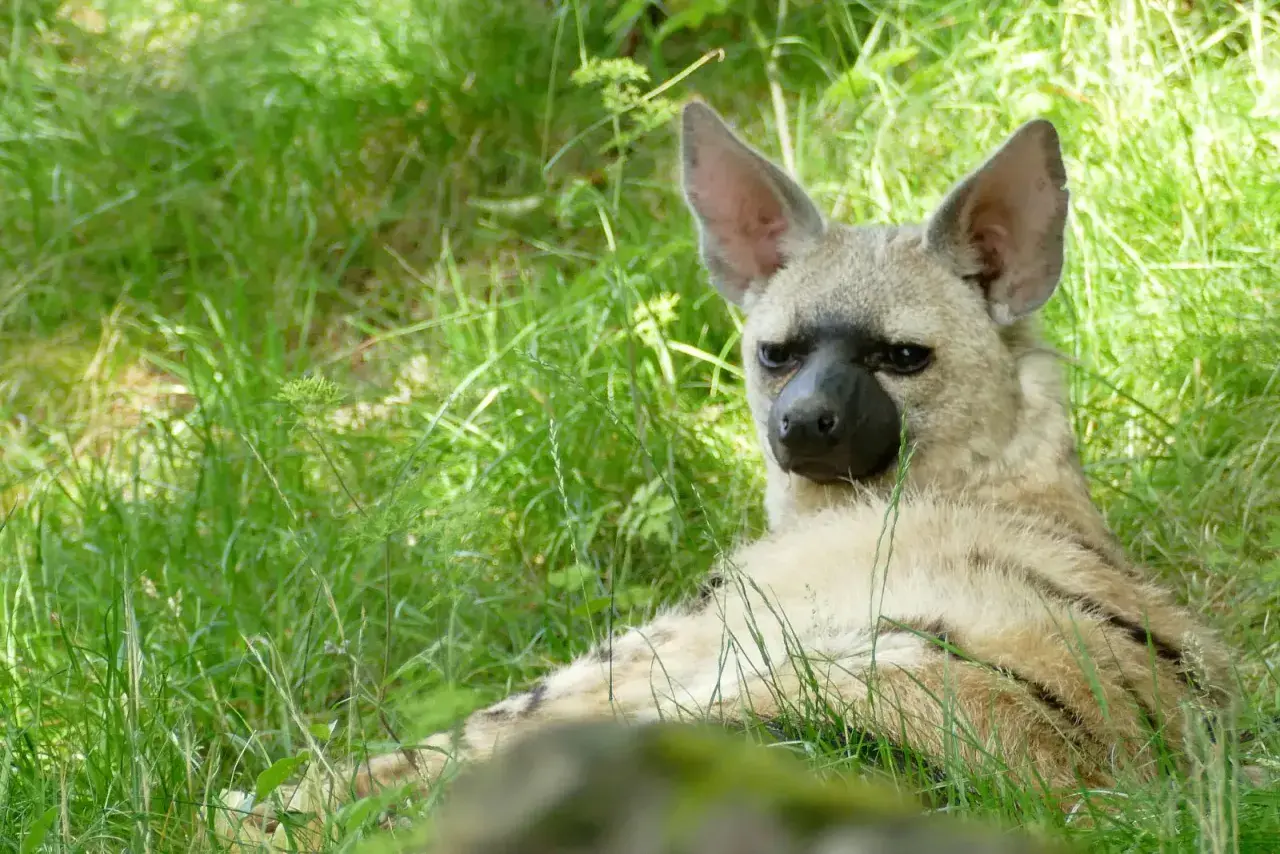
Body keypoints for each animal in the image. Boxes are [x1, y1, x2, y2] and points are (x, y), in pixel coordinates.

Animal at [215, 101, 1233, 844]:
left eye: (903, 357)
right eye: (777, 353)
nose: (805, 422)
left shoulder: (692, 632)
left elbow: (431, 742)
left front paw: (261, 805)